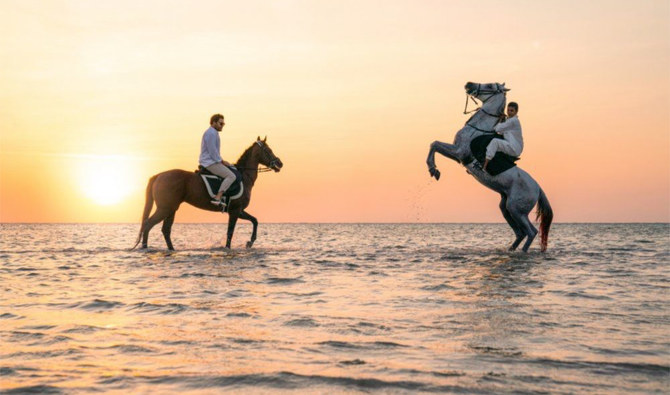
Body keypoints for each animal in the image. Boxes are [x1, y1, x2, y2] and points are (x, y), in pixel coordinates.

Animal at [133, 138, 282, 251]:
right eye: (268, 150)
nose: (280, 163)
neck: (244, 176)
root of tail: (159, 175)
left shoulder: (238, 210)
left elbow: (255, 220)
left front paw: (250, 242)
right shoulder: (235, 211)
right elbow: (230, 232)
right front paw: (231, 248)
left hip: (171, 209)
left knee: (165, 230)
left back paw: (171, 249)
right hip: (165, 208)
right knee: (148, 224)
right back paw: (145, 248)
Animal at [428, 82, 552, 252]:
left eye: (490, 85)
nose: (468, 84)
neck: (477, 128)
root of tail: (538, 189)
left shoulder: (459, 152)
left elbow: (434, 144)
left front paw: (433, 169)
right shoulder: (457, 155)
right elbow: (434, 144)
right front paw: (433, 169)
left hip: (516, 209)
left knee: (531, 232)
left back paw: (522, 252)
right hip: (506, 207)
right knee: (520, 233)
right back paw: (510, 250)